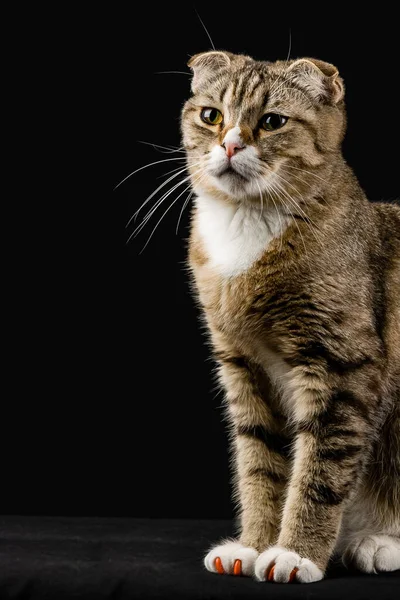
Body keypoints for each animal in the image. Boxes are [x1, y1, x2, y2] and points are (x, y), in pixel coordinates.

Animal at [181, 49, 400, 584]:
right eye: (211, 115)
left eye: (272, 122)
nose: (231, 144)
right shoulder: (245, 368)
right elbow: (261, 464)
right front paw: (254, 545)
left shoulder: (343, 366)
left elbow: (319, 469)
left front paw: (296, 553)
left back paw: (381, 541)